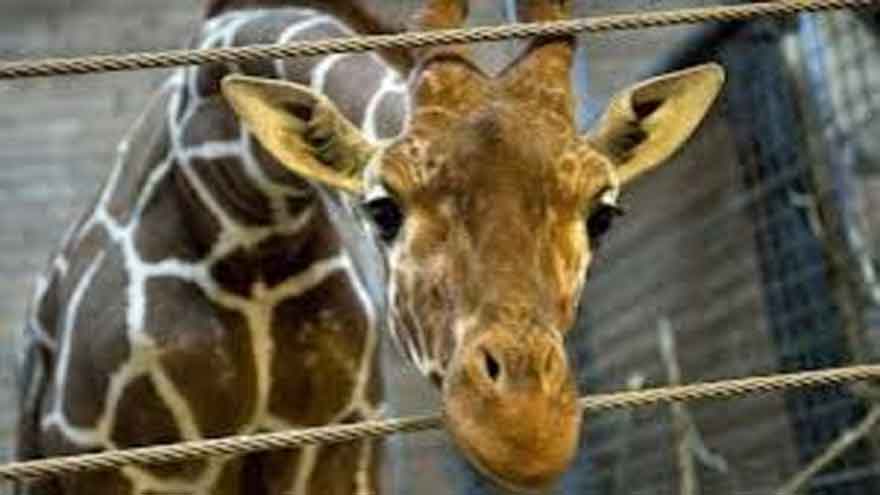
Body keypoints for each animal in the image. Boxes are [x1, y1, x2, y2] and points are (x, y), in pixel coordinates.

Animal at [15, 0, 725, 494]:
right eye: (382, 208)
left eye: (602, 214)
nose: (525, 430)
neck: (247, 224)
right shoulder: (125, 464)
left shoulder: (335, 452)